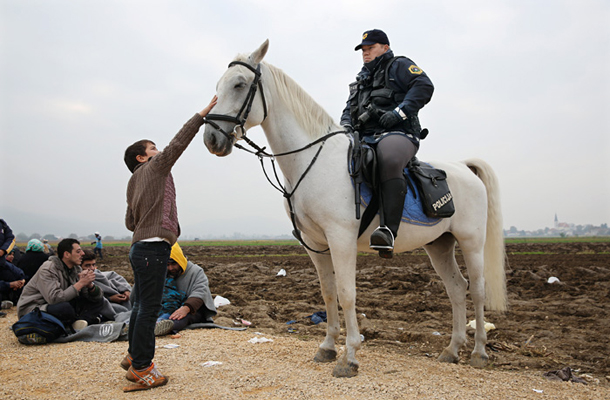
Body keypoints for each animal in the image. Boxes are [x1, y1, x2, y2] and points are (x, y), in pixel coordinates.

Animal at [202, 40, 506, 378]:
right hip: (439, 245)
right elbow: (328, 292)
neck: (313, 161)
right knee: (456, 288)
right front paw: (327, 347)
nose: (211, 138)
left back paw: (479, 353)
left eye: (239, 85)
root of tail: (464, 167)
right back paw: (451, 350)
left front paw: (349, 357)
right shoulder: (315, 245)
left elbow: (347, 294)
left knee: (477, 290)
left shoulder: (341, 239)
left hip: (471, 242)